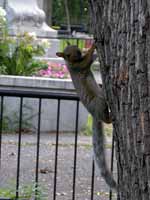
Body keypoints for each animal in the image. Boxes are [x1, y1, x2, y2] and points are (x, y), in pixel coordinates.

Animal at [56, 43, 117, 189]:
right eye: (67, 55)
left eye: (75, 46)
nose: (79, 52)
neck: (71, 63)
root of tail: (94, 114)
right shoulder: (80, 65)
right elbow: (88, 59)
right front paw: (93, 45)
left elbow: (89, 58)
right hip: (99, 102)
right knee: (105, 118)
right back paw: (110, 118)